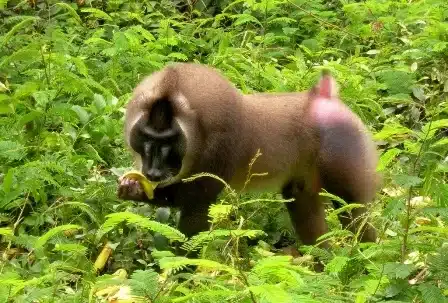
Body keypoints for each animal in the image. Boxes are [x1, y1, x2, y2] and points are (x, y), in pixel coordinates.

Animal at [117, 63, 380, 251]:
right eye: (147, 138)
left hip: (343, 155)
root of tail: (322, 98)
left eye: (168, 142)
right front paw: (132, 187)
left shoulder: (217, 146)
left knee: (354, 213)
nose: (153, 171)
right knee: (302, 205)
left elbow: (195, 208)